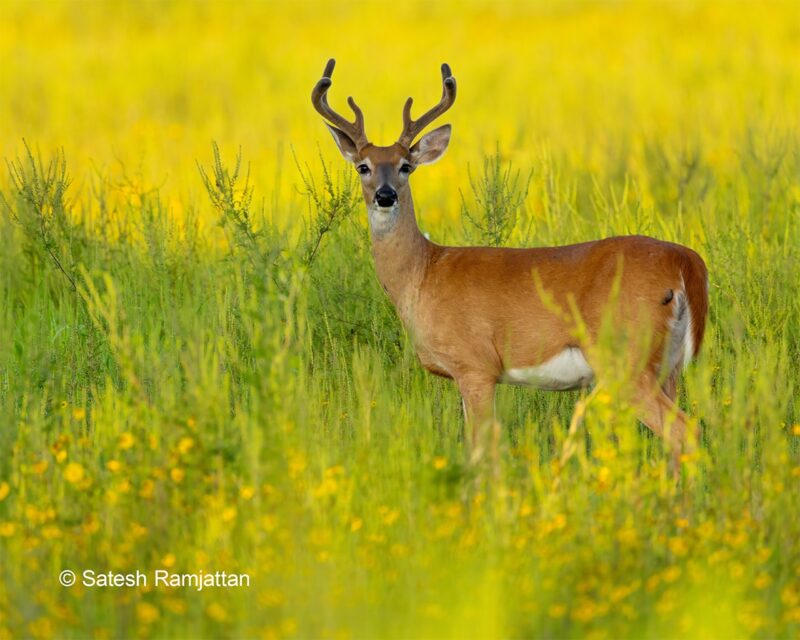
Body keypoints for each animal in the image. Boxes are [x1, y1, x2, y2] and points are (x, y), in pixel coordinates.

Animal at [311, 59, 708, 472]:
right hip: (667, 364)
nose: (385, 196)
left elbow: (482, 448)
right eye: (363, 167)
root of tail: (687, 262)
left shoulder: (475, 365)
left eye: (406, 166)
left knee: (684, 430)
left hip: (624, 357)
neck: (423, 274)